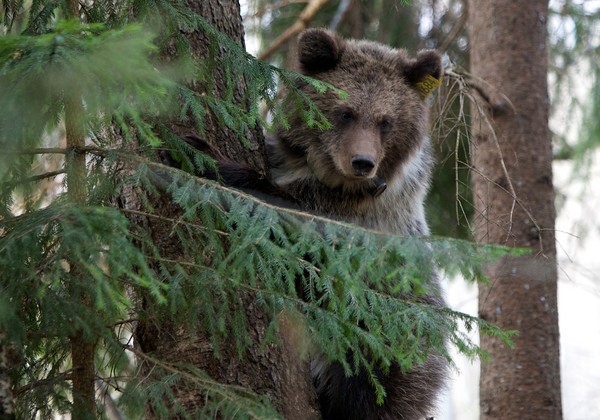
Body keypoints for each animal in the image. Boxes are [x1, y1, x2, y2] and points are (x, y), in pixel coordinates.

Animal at [182, 28, 446, 420]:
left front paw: (206, 157)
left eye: (386, 121)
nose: (363, 162)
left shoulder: (351, 218)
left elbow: (281, 212)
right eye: (345, 113)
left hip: (386, 332)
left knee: (366, 386)